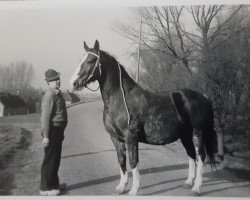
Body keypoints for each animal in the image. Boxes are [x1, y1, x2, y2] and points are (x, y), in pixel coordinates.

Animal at [69, 39, 217, 196]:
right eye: (80, 60)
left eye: (90, 61)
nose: (73, 83)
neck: (120, 99)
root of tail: (205, 98)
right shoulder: (116, 139)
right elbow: (121, 161)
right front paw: (121, 187)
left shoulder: (131, 137)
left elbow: (133, 161)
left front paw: (134, 189)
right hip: (185, 135)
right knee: (191, 155)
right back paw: (189, 182)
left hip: (198, 133)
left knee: (200, 157)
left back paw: (196, 188)